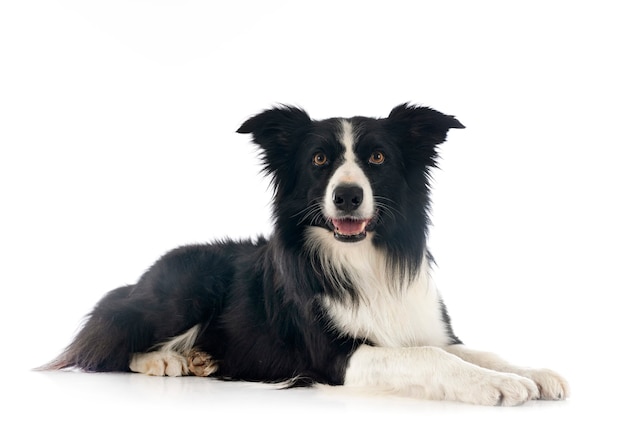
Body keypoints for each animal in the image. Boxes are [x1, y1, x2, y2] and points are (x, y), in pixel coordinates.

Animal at [42, 104, 572, 406]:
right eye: (320, 160)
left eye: (377, 158)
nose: (348, 196)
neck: (363, 260)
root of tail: (139, 277)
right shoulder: (334, 356)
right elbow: (429, 358)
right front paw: (498, 385)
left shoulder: (424, 325)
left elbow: (474, 351)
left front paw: (534, 373)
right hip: (180, 293)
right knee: (103, 341)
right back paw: (164, 362)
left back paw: (199, 358)